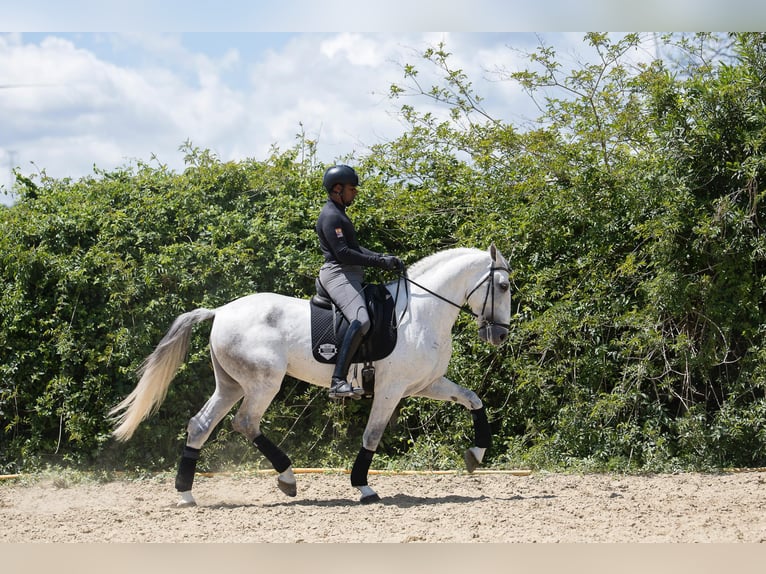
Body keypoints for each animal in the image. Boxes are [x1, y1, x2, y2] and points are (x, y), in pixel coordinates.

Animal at [109, 244, 511, 506]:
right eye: (504, 286)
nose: (500, 336)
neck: (419, 313)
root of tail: (220, 311)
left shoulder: (426, 384)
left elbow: (473, 399)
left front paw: (476, 454)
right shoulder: (391, 389)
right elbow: (372, 435)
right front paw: (364, 488)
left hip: (231, 384)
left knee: (201, 425)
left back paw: (186, 494)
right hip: (263, 383)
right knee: (245, 423)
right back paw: (287, 478)